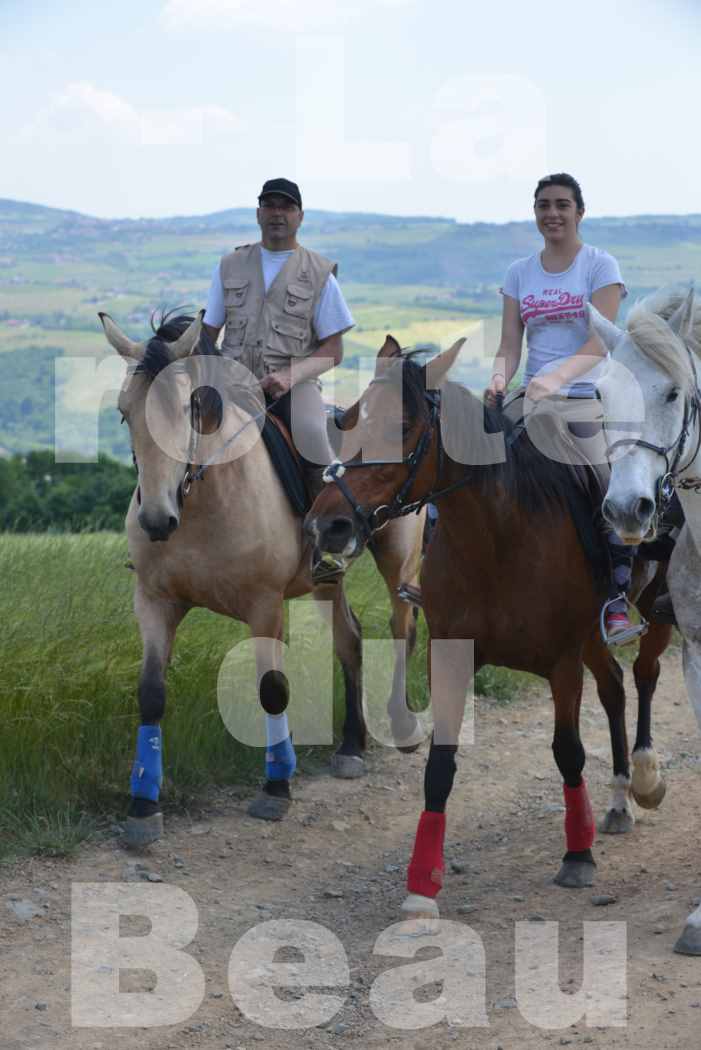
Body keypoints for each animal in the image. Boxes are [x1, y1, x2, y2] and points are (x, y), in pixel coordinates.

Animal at [98, 308, 423, 844]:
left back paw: (401, 725)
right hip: (327, 582)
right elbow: (151, 693)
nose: (156, 521)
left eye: (189, 409)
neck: (202, 499)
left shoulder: (264, 605)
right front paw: (143, 804)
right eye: (125, 413)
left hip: (398, 559)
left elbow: (272, 689)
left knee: (401, 631)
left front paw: (276, 786)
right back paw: (351, 747)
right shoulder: (154, 601)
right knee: (350, 640)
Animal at [308, 333, 671, 919]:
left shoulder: (562, 660)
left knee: (643, 676)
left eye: (403, 426)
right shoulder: (453, 654)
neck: (497, 538)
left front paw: (578, 855)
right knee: (615, 688)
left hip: (651, 612)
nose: (328, 525)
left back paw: (643, 778)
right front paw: (421, 885)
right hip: (592, 639)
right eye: (350, 418)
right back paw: (618, 801)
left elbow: (567, 751)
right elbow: (440, 765)